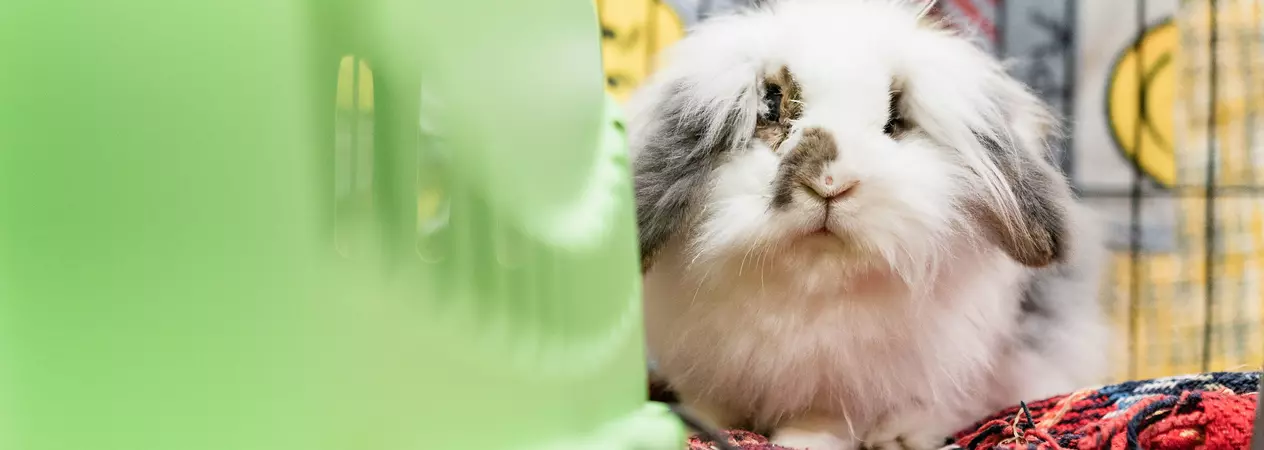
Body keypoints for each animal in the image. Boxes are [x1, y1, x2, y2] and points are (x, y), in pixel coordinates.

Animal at [626, 1, 1110, 449]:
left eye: (894, 121)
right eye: (771, 104)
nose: (830, 183)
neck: (813, 281)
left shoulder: (847, 385)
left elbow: (822, 419)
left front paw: (804, 440)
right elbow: (711, 405)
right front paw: (704, 427)